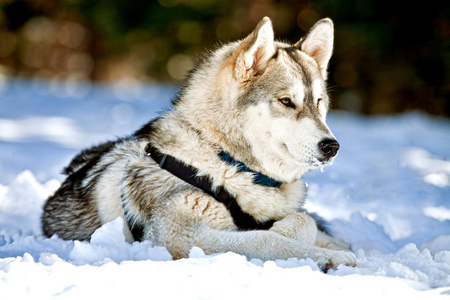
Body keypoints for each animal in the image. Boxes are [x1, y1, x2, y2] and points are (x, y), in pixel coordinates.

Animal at [44, 16, 356, 270]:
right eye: (286, 101)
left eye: (319, 102)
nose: (332, 146)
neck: (226, 160)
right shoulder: (180, 236)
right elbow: (266, 240)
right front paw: (318, 251)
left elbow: (304, 221)